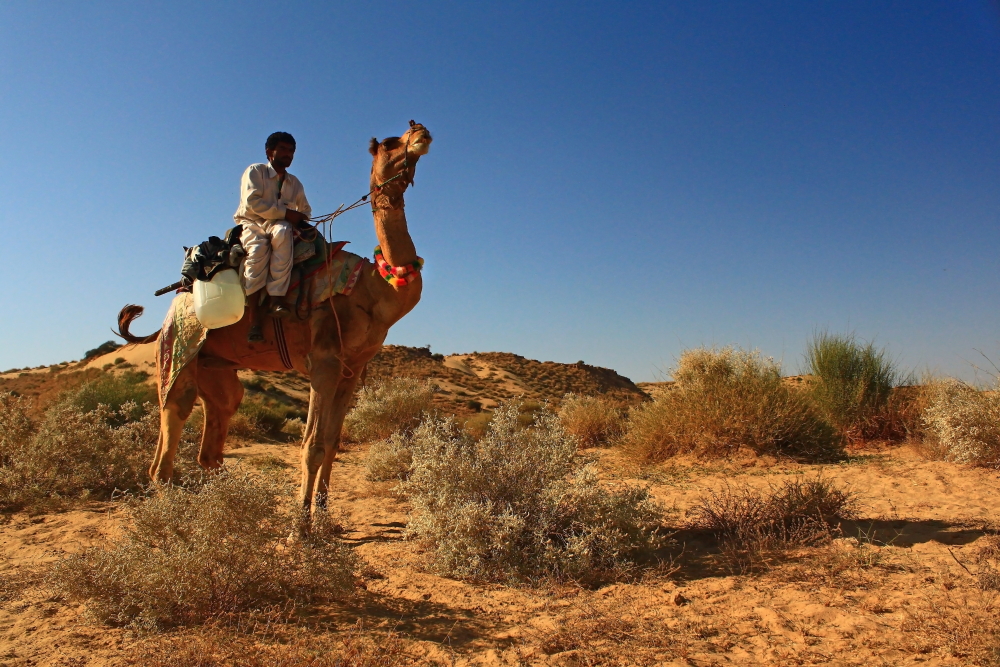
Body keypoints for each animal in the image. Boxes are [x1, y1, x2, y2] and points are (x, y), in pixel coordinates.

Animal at [117, 121, 430, 528]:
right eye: (391, 143)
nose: (420, 131)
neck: (373, 288)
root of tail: (175, 302)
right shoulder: (324, 362)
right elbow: (312, 445)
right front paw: (300, 527)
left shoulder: (353, 369)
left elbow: (333, 442)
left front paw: (325, 518)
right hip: (178, 351)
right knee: (171, 426)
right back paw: (173, 519)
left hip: (216, 369)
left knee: (217, 428)